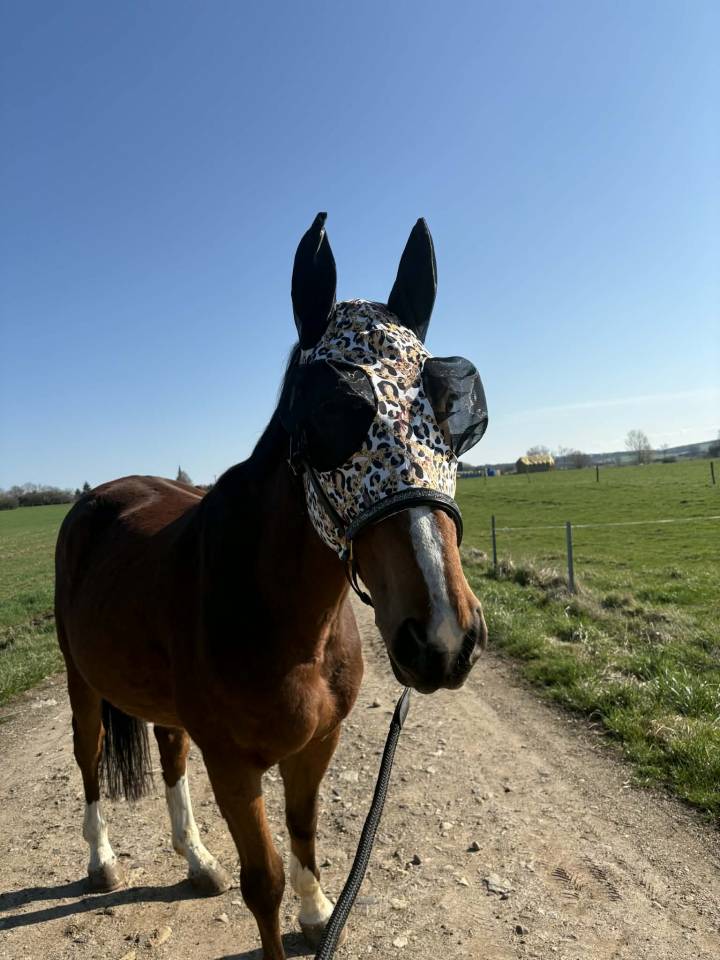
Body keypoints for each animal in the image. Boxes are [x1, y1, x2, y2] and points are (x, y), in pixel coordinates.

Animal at [54, 213, 489, 960]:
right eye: (325, 415)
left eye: (455, 413)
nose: (442, 636)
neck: (286, 623)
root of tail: (100, 497)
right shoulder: (234, 766)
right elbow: (265, 883)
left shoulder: (316, 746)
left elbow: (305, 833)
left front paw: (318, 916)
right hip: (80, 679)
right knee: (88, 758)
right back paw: (102, 860)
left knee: (170, 755)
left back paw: (197, 859)